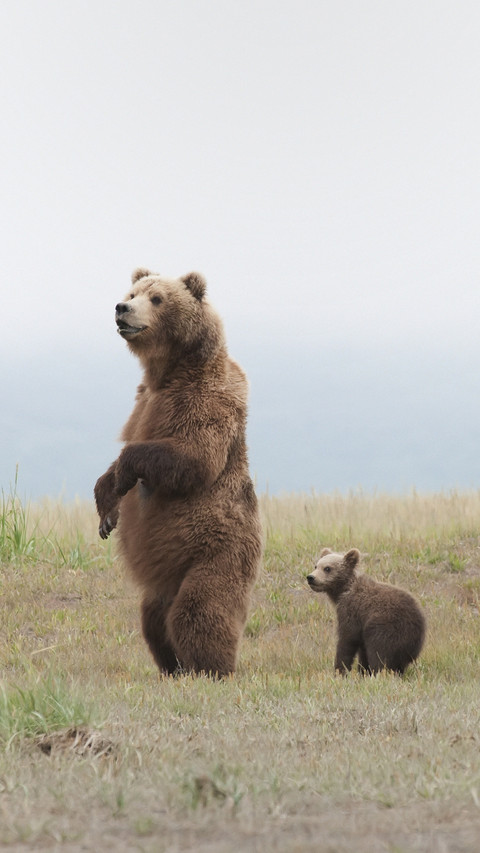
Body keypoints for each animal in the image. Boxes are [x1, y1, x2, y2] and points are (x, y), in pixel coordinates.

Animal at [94, 268, 263, 677]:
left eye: (157, 299)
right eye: (132, 293)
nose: (122, 308)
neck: (168, 373)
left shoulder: (206, 401)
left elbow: (193, 457)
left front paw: (124, 477)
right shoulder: (142, 403)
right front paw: (107, 511)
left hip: (216, 554)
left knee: (198, 612)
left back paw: (210, 668)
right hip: (165, 577)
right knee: (153, 620)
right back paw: (172, 667)